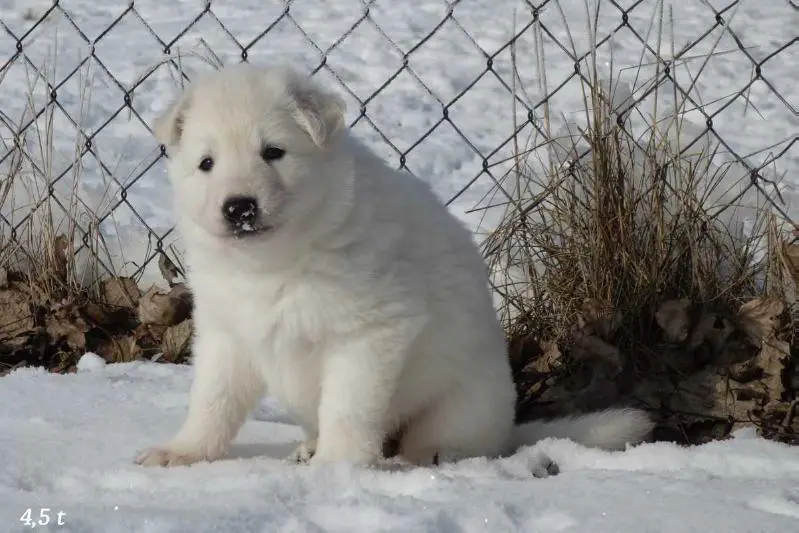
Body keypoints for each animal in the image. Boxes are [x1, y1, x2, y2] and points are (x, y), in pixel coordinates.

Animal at [134, 64, 652, 468]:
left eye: (273, 152)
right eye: (206, 163)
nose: (239, 207)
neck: (276, 260)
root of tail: (508, 429)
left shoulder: (371, 332)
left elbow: (348, 408)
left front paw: (336, 468)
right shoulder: (225, 332)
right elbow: (212, 401)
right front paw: (183, 452)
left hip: (461, 402)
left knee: (446, 439)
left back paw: (425, 457)